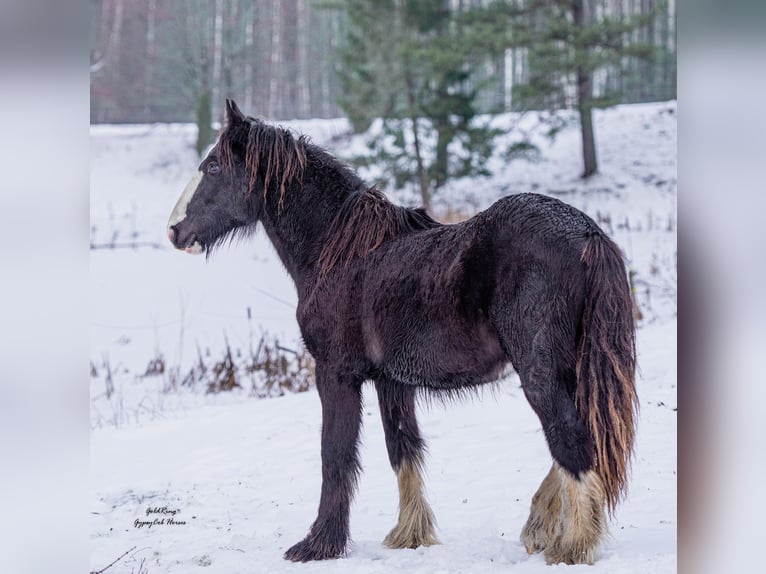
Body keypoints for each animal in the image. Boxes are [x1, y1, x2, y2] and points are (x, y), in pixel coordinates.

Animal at [170, 100, 640, 568]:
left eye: (213, 166)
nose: (175, 230)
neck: (339, 252)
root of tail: (586, 233)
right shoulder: (391, 381)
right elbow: (403, 448)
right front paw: (409, 534)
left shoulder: (335, 374)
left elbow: (335, 455)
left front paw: (319, 544)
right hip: (571, 369)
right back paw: (544, 527)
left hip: (540, 373)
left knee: (571, 440)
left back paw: (573, 546)